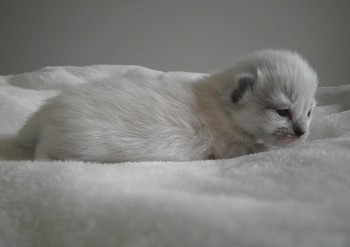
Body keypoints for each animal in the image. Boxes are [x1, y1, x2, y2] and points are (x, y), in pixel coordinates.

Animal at [17, 49, 318, 162]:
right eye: (282, 111)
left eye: (309, 112)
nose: (302, 132)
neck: (222, 106)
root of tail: (44, 114)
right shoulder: (230, 144)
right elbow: (258, 147)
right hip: (74, 144)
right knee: (45, 152)